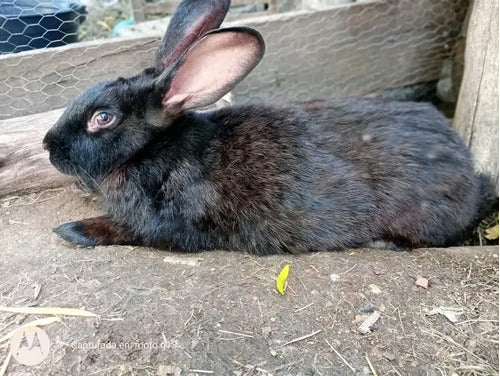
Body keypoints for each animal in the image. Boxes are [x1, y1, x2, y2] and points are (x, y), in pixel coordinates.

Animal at [42, 0, 488, 254]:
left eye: (103, 118)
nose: (49, 146)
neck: (156, 150)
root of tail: (471, 172)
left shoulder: (169, 224)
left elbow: (128, 230)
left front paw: (73, 230)